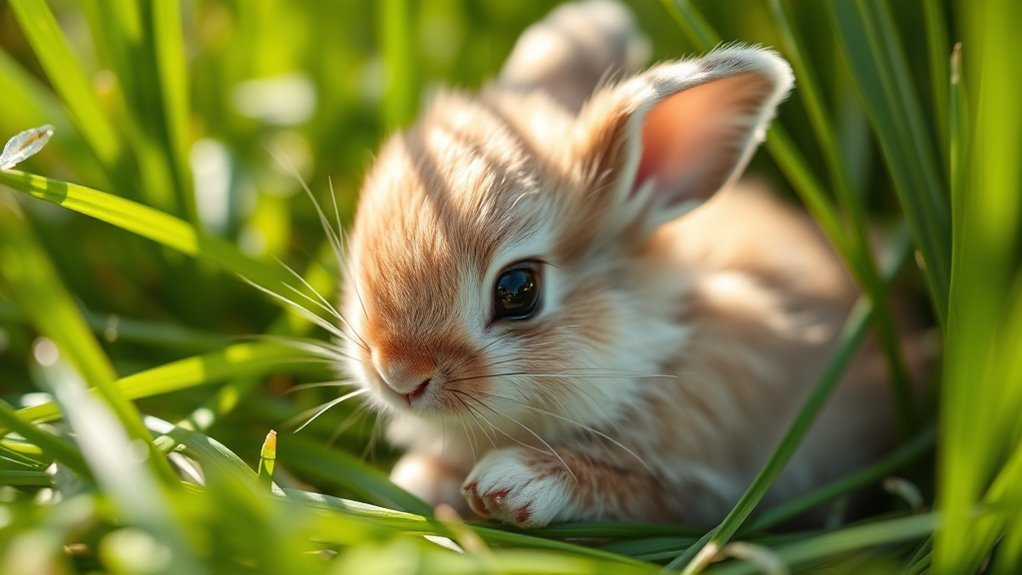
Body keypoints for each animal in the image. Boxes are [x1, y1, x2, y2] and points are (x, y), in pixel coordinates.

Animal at [339, 0, 905, 528]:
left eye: (518, 289)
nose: (399, 377)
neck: (661, 340)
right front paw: (419, 479)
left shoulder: (708, 463)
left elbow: (634, 489)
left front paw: (513, 483)